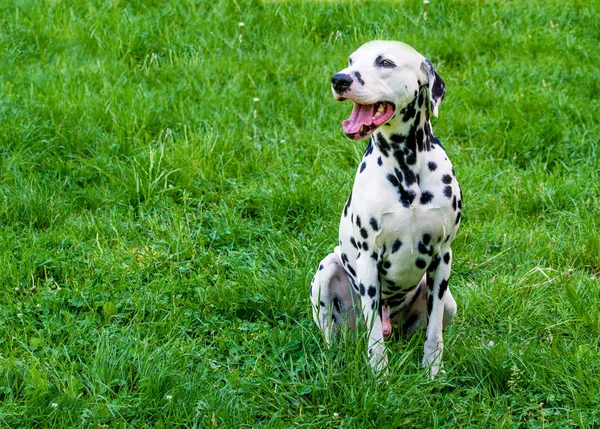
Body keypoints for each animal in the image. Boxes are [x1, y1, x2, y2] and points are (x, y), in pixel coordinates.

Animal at [310, 41, 460, 378]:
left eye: (386, 62)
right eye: (351, 60)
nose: (340, 79)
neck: (407, 167)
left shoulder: (442, 256)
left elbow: (434, 332)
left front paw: (432, 372)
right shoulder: (368, 259)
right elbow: (375, 335)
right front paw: (379, 376)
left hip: (450, 302)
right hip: (326, 271)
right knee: (332, 334)